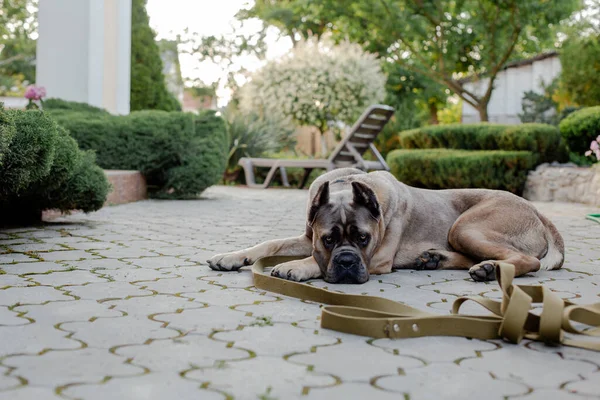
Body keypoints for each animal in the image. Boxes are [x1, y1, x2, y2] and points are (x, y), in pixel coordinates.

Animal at [209, 167, 564, 282]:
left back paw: (490, 269)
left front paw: (296, 266)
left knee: (527, 260)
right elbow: (270, 243)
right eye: (328, 239)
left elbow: (313, 261)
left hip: (465, 226)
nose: (347, 261)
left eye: (364, 239)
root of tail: (537, 211)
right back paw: (439, 260)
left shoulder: (378, 259)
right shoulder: (307, 236)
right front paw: (232, 257)